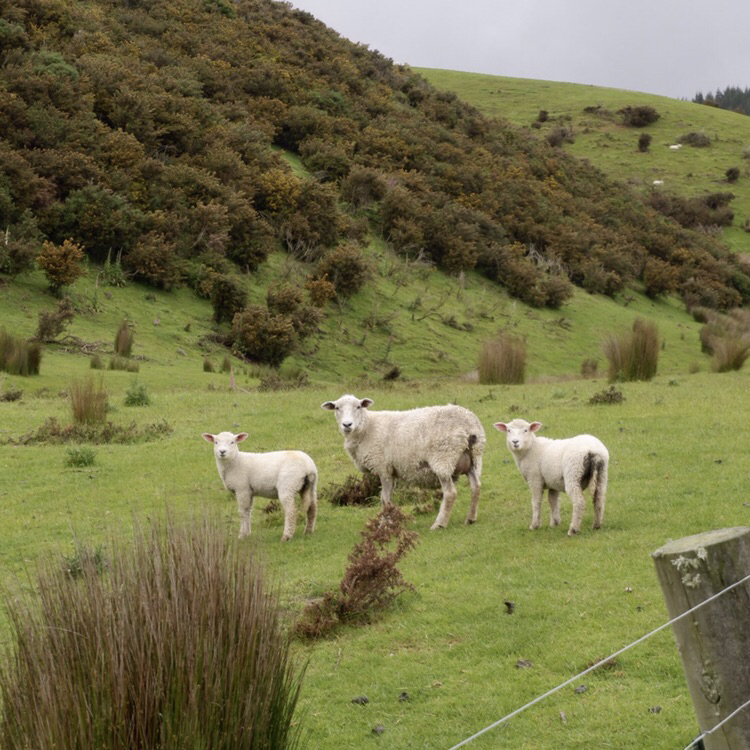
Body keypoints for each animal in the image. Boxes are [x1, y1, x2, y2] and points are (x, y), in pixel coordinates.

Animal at [322, 396, 488, 532]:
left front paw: (384, 524)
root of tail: (469, 426)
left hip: (444, 458)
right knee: (476, 487)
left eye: (358, 406)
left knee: (450, 493)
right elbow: (388, 499)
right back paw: (470, 518)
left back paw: (439, 524)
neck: (367, 427)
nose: (347, 424)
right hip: (474, 459)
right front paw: (389, 521)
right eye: (337, 408)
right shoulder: (391, 470)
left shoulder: (383, 468)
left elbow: (384, 499)